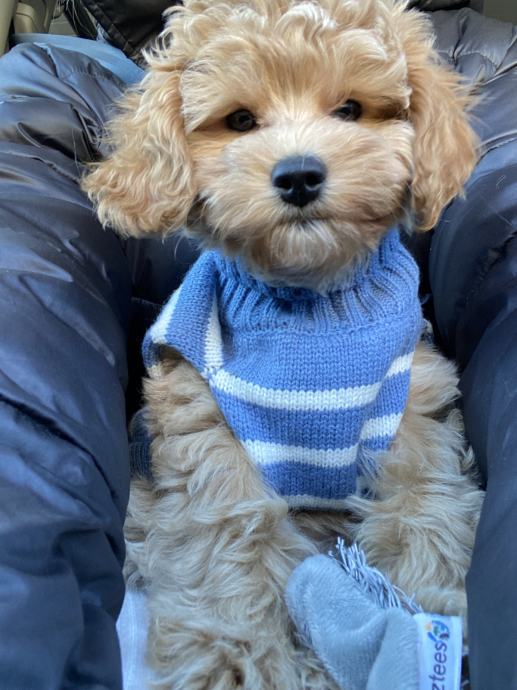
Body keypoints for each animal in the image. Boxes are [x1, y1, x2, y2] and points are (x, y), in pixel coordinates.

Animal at [83, 1, 484, 687]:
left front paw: (427, 610)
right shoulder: (209, 423)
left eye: (349, 109)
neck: (312, 300)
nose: (298, 175)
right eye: (241, 121)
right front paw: (241, 658)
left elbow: (424, 504)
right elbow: (228, 537)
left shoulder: (410, 406)